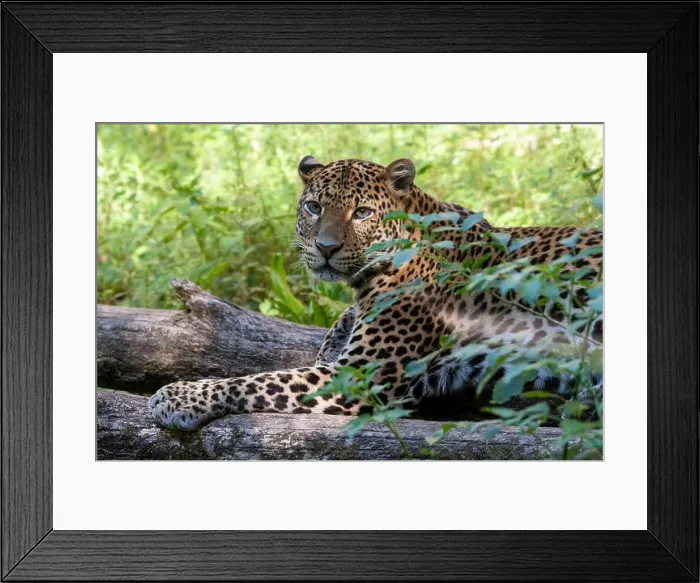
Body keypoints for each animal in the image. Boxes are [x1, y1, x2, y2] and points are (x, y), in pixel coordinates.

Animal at [149, 156, 603, 431]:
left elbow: (258, 380)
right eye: (314, 207)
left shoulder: (359, 377)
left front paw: (177, 396)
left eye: (362, 213)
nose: (326, 248)